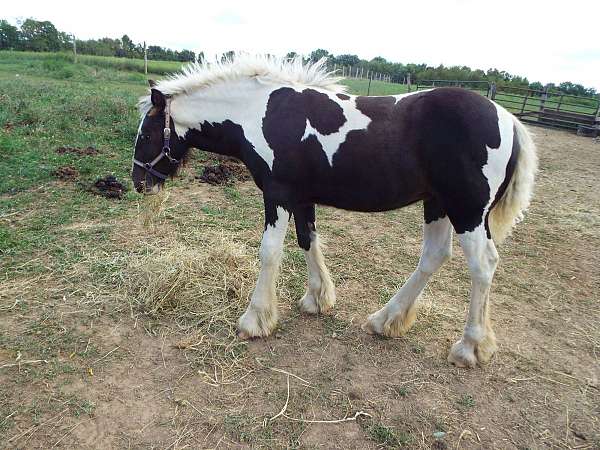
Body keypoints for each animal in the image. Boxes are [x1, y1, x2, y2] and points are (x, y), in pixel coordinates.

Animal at [130, 54, 536, 368]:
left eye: (146, 135)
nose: (139, 182)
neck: (260, 113)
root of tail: (508, 119)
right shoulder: (300, 197)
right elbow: (307, 240)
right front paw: (318, 299)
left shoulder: (278, 195)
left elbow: (269, 252)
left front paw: (256, 319)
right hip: (436, 203)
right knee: (434, 256)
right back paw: (386, 320)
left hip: (467, 211)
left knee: (482, 265)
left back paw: (469, 348)